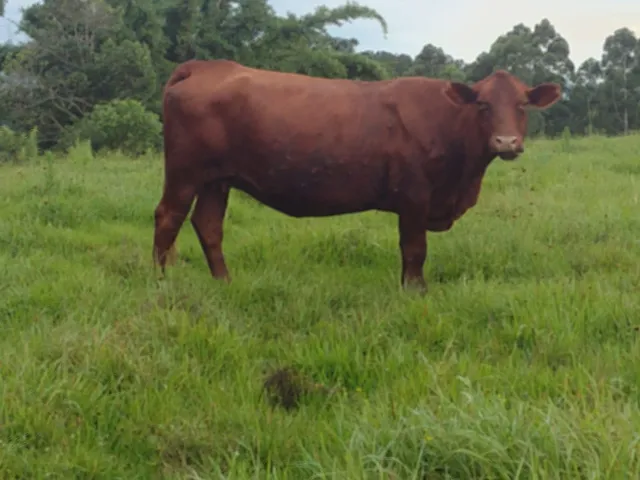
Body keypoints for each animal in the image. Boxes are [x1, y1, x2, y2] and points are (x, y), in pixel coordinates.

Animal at [152, 59, 561, 293]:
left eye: (522, 105)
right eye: (483, 105)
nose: (506, 141)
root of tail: (208, 65)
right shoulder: (414, 196)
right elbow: (414, 249)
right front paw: (416, 292)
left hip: (217, 180)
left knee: (208, 225)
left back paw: (225, 283)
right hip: (185, 173)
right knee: (167, 218)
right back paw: (161, 282)